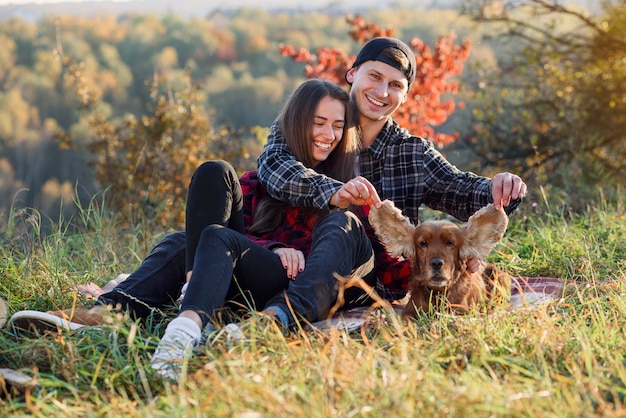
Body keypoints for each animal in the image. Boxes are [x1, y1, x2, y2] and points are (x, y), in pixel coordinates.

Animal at [368, 201, 510, 318]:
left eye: (450, 243)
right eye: (423, 243)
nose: (436, 263)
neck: (437, 293)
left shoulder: (463, 312)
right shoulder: (409, 310)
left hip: (500, 276)